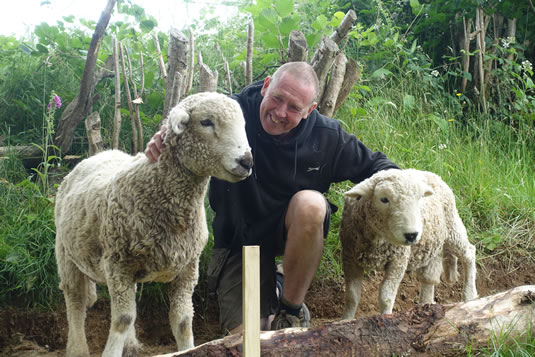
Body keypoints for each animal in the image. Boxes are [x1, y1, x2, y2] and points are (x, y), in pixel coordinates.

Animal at [54, 92, 253, 356]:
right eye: (206, 122)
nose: (246, 161)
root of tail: (98, 155)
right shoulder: (118, 264)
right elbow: (122, 319)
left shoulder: (188, 268)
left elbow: (183, 321)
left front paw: (188, 348)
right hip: (66, 253)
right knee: (75, 300)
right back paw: (78, 348)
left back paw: (131, 344)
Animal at [340, 168, 478, 318]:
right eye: (384, 199)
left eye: (419, 199)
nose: (412, 235)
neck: (377, 241)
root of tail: (433, 174)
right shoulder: (349, 257)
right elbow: (352, 295)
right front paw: (346, 319)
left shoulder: (399, 259)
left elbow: (386, 297)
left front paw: (386, 318)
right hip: (432, 242)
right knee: (429, 277)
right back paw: (426, 305)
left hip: (452, 226)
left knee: (469, 252)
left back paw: (470, 296)